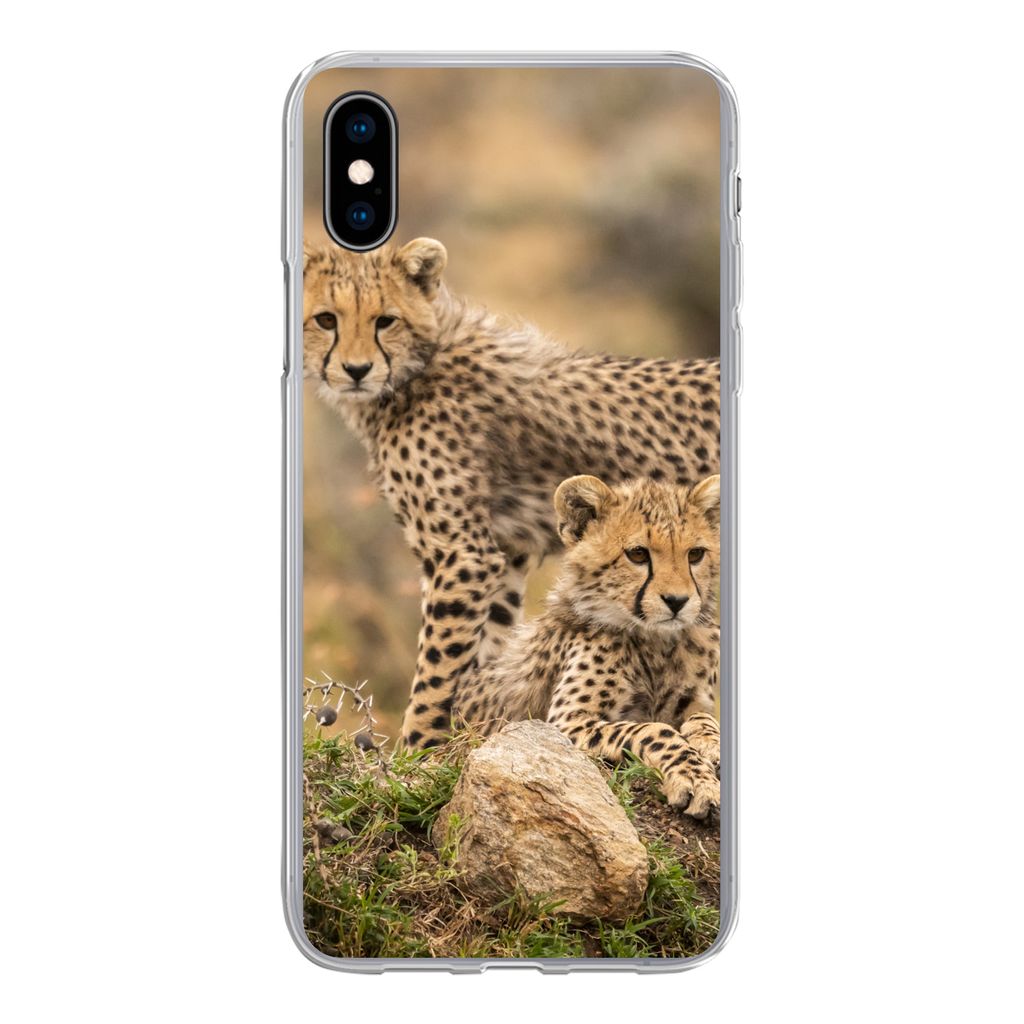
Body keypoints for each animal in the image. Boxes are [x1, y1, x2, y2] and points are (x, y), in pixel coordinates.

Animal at [303, 238, 720, 750]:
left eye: (386, 320)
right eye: (326, 319)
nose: (357, 370)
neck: (421, 363)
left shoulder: (462, 553)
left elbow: (437, 668)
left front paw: (417, 753)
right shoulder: (504, 551)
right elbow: (483, 653)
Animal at [452, 473, 721, 818]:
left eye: (695, 554)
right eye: (638, 554)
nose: (677, 601)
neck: (655, 643)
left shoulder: (692, 702)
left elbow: (703, 719)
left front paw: (710, 743)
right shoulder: (564, 723)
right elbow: (653, 731)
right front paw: (694, 779)